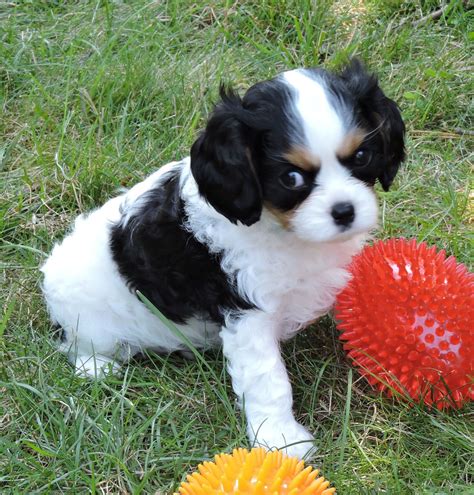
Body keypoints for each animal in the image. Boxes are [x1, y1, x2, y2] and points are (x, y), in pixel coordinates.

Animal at [40, 60, 406, 460]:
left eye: (362, 157)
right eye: (291, 178)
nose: (344, 211)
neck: (285, 231)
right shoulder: (247, 311)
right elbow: (268, 379)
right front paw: (280, 440)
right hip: (87, 318)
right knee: (78, 345)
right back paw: (97, 367)